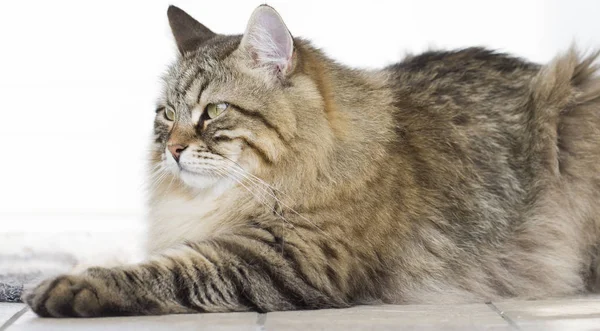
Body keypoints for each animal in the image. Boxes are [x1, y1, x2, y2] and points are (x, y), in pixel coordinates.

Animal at [23, 4, 600, 316]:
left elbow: (166, 270)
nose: (173, 149)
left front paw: (67, 285)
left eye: (214, 111)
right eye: (166, 115)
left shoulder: (285, 257)